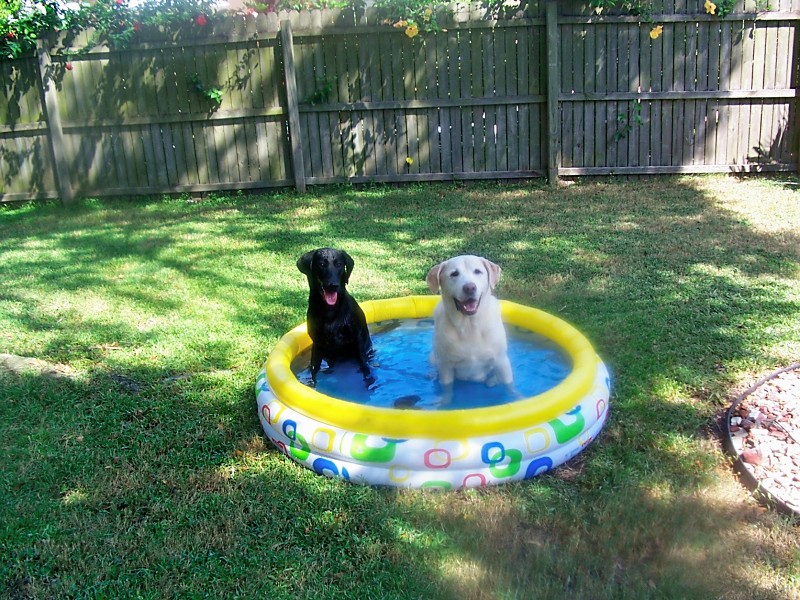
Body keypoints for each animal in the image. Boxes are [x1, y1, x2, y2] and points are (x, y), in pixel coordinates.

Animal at [296, 247, 376, 384]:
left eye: (339, 264)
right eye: (321, 264)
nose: (333, 285)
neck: (330, 310)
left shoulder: (357, 338)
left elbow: (364, 365)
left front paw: (369, 380)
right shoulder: (317, 343)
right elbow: (314, 369)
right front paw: (311, 383)